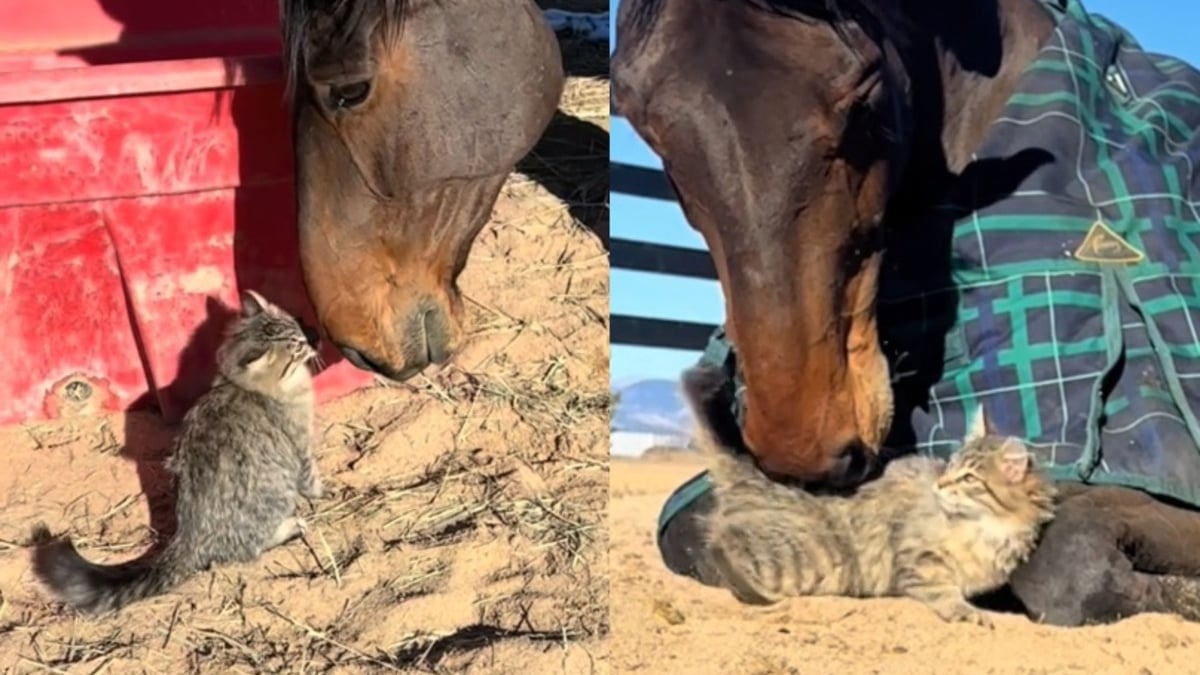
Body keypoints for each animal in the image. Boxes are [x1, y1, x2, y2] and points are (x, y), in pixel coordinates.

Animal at [29, 285, 324, 612]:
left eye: (299, 327)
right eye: (297, 346)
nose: (314, 340)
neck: (237, 383)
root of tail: (187, 538)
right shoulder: (300, 442)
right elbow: (311, 478)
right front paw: (322, 491)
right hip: (276, 496)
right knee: (251, 548)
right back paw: (292, 526)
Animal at [686, 362, 1060, 624]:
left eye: (968, 478)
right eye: (950, 467)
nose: (941, 485)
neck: (989, 528)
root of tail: (756, 481)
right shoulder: (918, 556)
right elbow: (943, 591)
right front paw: (967, 611)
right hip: (810, 560)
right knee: (719, 545)